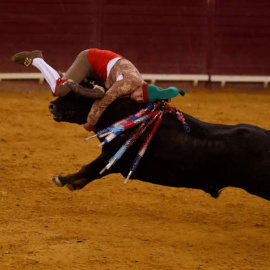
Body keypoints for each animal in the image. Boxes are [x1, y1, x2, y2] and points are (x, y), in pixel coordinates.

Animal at [48, 92, 270, 200]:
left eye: (79, 96)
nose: (51, 105)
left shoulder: (114, 156)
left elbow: (90, 167)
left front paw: (62, 179)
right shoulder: (114, 159)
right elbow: (93, 171)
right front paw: (73, 183)